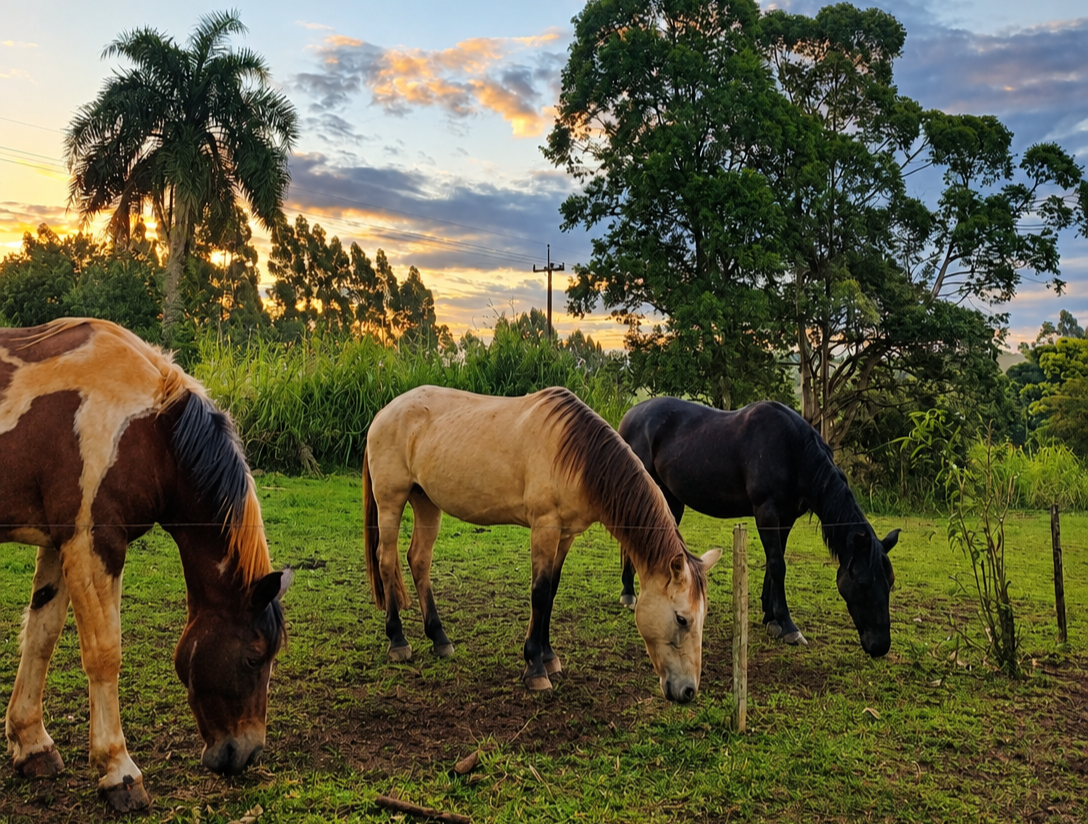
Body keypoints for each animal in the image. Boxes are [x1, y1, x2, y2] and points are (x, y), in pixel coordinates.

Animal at [0, 318, 292, 811]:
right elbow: (104, 654)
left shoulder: (59, 541)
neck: (149, 431)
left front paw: (32, 744)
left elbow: (41, 636)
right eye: (254, 658)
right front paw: (119, 771)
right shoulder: (93, 542)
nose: (248, 753)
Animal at [363, 385, 720, 702]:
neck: (575, 455)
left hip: (426, 502)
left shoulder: (565, 534)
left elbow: (552, 592)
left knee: (418, 560)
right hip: (391, 500)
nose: (688, 691)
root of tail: (384, 411)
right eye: (682, 619)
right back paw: (397, 640)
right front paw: (535, 668)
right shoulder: (544, 527)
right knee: (386, 560)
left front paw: (549, 658)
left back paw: (439, 638)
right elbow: (539, 591)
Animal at [617, 397, 897, 657]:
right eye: (863, 583)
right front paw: (789, 627)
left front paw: (771, 619)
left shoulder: (786, 518)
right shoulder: (766, 512)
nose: (880, 646)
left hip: (671, 499)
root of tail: (631, 414)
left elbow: (774, 565)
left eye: (890, 583)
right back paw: (628, 593)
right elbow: (777, 565)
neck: (792, 450)